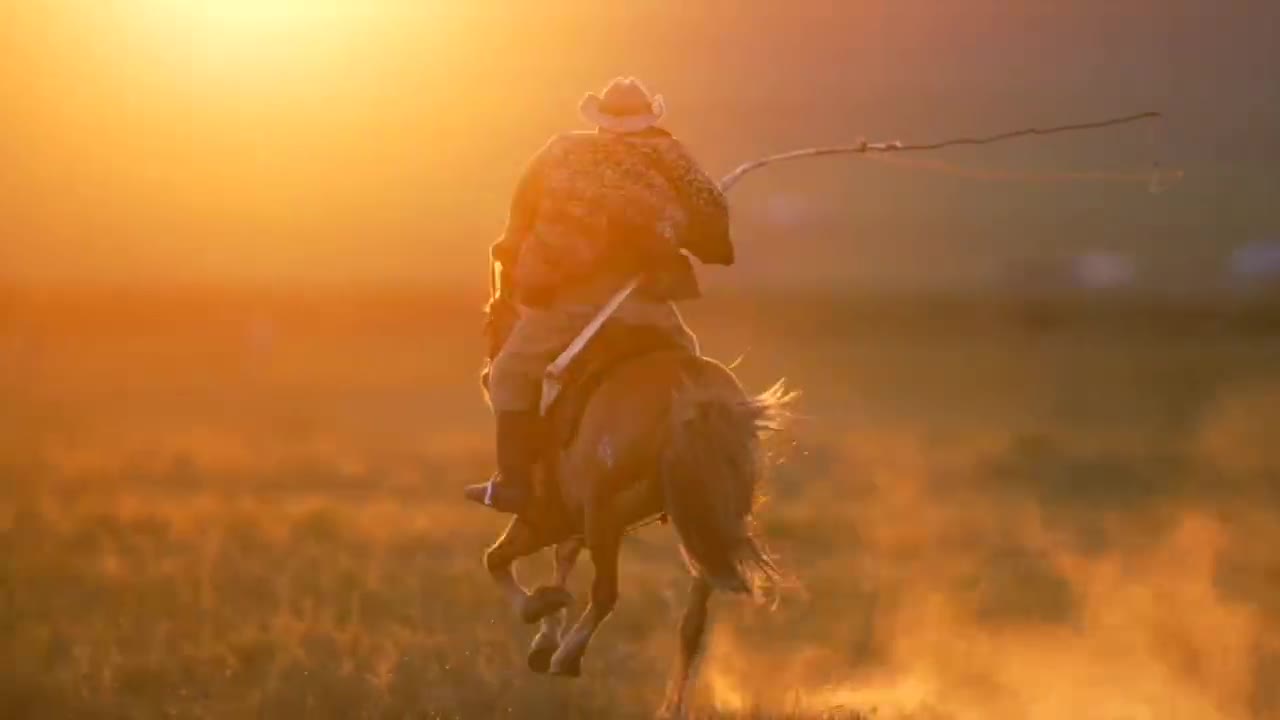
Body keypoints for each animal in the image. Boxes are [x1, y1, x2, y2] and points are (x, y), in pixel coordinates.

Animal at [481, 279, 798, 712]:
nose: (485, 374)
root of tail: (695, 398)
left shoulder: (546, 518)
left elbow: (497, 560)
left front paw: (541, 616)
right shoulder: (573, 520)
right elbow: (558, 560)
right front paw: (546, 629)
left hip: (605, 515)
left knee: (606, 593)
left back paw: (568, 657)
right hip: (705, 524)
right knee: (692, 624)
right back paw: (671, 706)